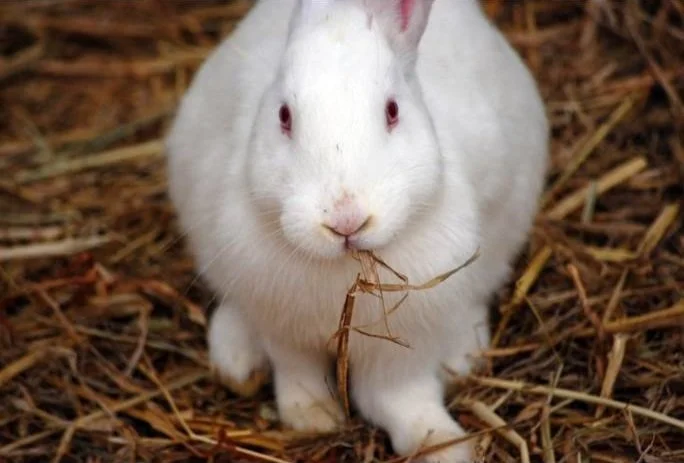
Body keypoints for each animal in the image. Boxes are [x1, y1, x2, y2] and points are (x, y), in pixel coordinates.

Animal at [165, 0, 548, 461]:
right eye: (284, 116)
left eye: (392, 111)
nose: (345, 220)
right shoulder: (284, 331)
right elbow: (299, 377)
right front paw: (314, 418)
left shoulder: (402, 351)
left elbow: (399, 398)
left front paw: (442, 446)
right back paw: (238, 362)